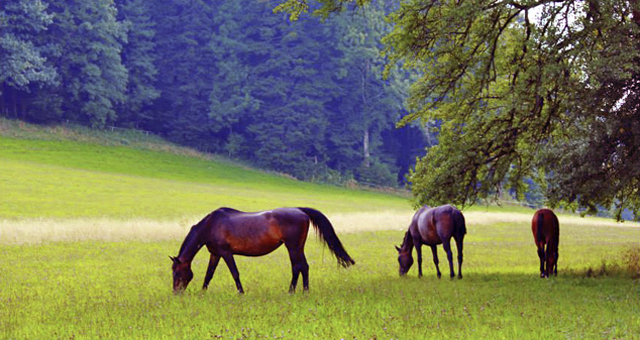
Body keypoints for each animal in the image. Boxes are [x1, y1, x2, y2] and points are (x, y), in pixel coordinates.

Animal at [170, 206, 356, 294]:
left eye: (177, 273)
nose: (176, 293)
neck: (210, 225)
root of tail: (300, 210)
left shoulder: (226, 253)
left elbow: (235, 273)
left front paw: (241, 293)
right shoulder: (215, 254)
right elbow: (209, 275)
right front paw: (203, 293)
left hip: (293, 247)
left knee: (297, 267)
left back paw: (292, 292)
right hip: (297, 247)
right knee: (304, 267)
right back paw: (304, 291)